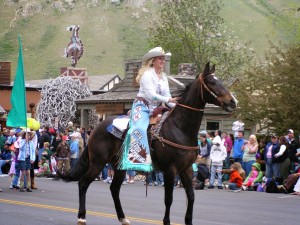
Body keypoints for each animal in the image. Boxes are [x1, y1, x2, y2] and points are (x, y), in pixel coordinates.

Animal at [58, 62, 237, 224]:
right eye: (212, 82)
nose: (232, 101)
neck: (179, 127)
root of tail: (95, 130)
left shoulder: (186, 169)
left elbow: (191, 197)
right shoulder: (170, 170)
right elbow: (169, 198)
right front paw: (166, 221)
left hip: (119, 166)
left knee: (114, 189)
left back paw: (123, 218)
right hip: (98, 162)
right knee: (83, 183)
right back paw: (82, 217)